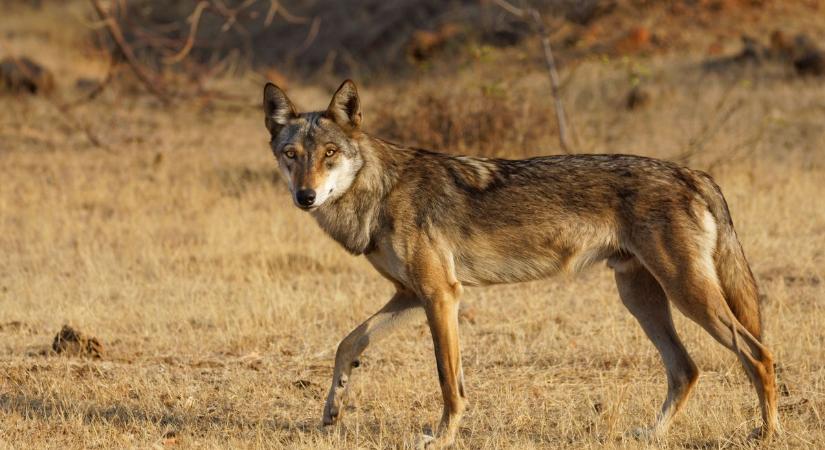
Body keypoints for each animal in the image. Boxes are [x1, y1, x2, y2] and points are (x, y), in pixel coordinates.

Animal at [260, 80, 776, 446]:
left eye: (330, 154)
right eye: (292, 155)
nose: (305, 197)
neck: (381, 191)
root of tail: (694, 172)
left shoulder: (441, 295)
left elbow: (448, 380)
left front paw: (441, 438)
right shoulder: (411, 295)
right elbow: (347, 344)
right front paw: (332, 410)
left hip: (686, 295)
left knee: (758, 354)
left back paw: (767, 433)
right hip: (641, 298)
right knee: (686, 369)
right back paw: (652, 434)